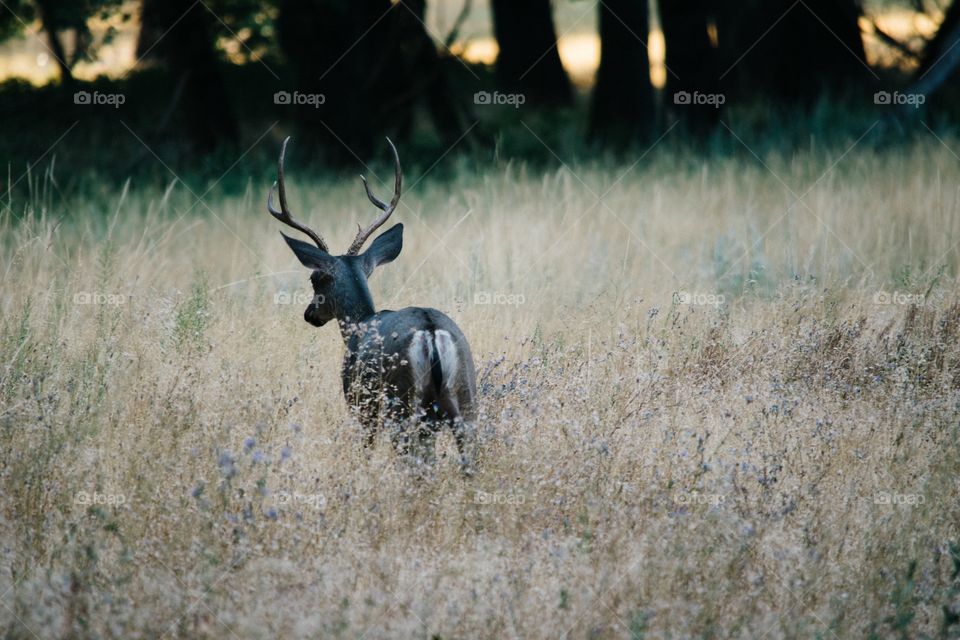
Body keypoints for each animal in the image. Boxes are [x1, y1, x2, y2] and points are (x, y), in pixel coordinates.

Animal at [268, 136, 478, 474]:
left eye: (315, 279)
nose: (310, 314)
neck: (359, 324)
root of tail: (431, 333)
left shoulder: (358, 402)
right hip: (466, 398)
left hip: (400, 404)